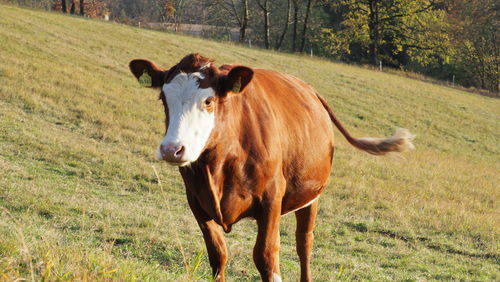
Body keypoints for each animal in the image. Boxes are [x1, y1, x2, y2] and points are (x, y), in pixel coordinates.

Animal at [129, 53, 414, 282]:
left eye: (208, 101)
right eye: (163, 98)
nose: (172, 149)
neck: (219, 164)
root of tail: (310, 90)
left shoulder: (271, 199)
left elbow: (266, 257)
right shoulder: (197, 202)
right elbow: (218, 255)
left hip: (311, 197)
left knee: (304, 244)